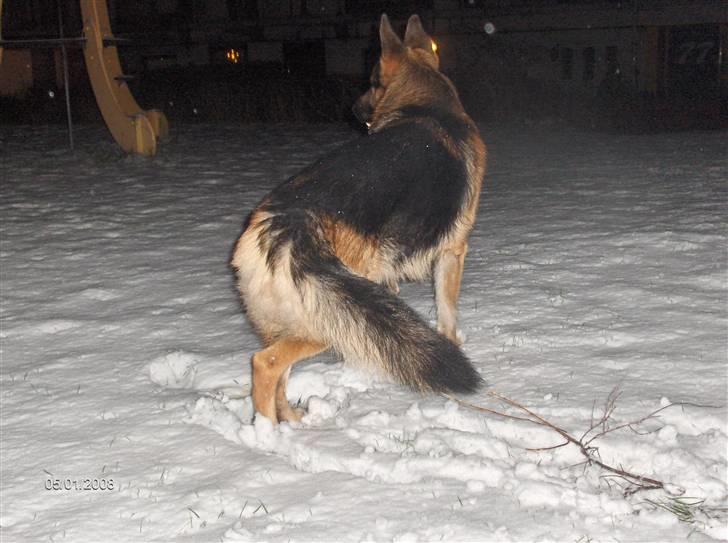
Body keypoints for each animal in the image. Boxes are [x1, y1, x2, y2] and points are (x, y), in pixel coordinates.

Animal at [230, 11, 486, 420]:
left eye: (370, 82)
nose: (351, 110)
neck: (428, 105)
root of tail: (286, 222)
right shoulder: (452, 253)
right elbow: (448, 314)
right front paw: (454, 342)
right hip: (328, 320)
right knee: (265, 363)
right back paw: (267, 432)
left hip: (299, 317)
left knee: (279, 370)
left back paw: (292, 421)